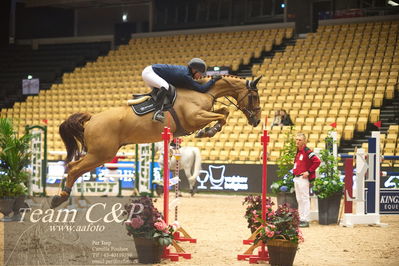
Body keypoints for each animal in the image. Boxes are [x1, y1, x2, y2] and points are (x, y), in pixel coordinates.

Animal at [50, 75, 262, 208]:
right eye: (253, 96)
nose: (257, 121)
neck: (202, 91)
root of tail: (92, 118)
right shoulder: (195, 117)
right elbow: (222, 115)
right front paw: (209, 131)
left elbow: (224, 112)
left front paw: (210, 130)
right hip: (101, 154)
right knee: (74, 168)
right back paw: (60, 198)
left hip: (101, 155)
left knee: (74, 167)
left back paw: (65, 196)